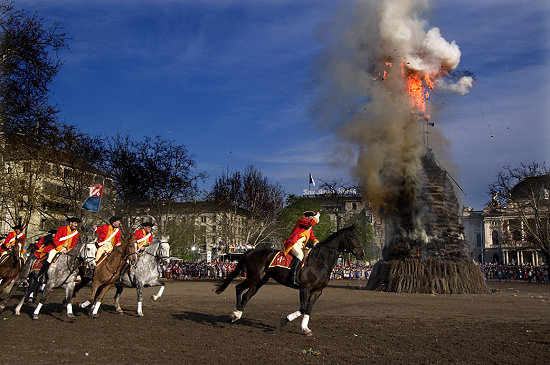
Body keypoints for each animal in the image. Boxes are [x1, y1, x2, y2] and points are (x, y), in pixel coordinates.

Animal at [217, 225, 366, 336]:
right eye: (352, 237)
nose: (362, 253)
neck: (320, 261)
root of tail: (251, 251)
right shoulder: (304, 288)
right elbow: (303, 308)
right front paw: (285, 320)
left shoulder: (317, 291)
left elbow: (308, 309)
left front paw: (305, 329)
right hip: (254, 277)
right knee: (239, 288)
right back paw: (235, 314)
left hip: (260, 281)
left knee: (247, 295)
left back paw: (237, 314)